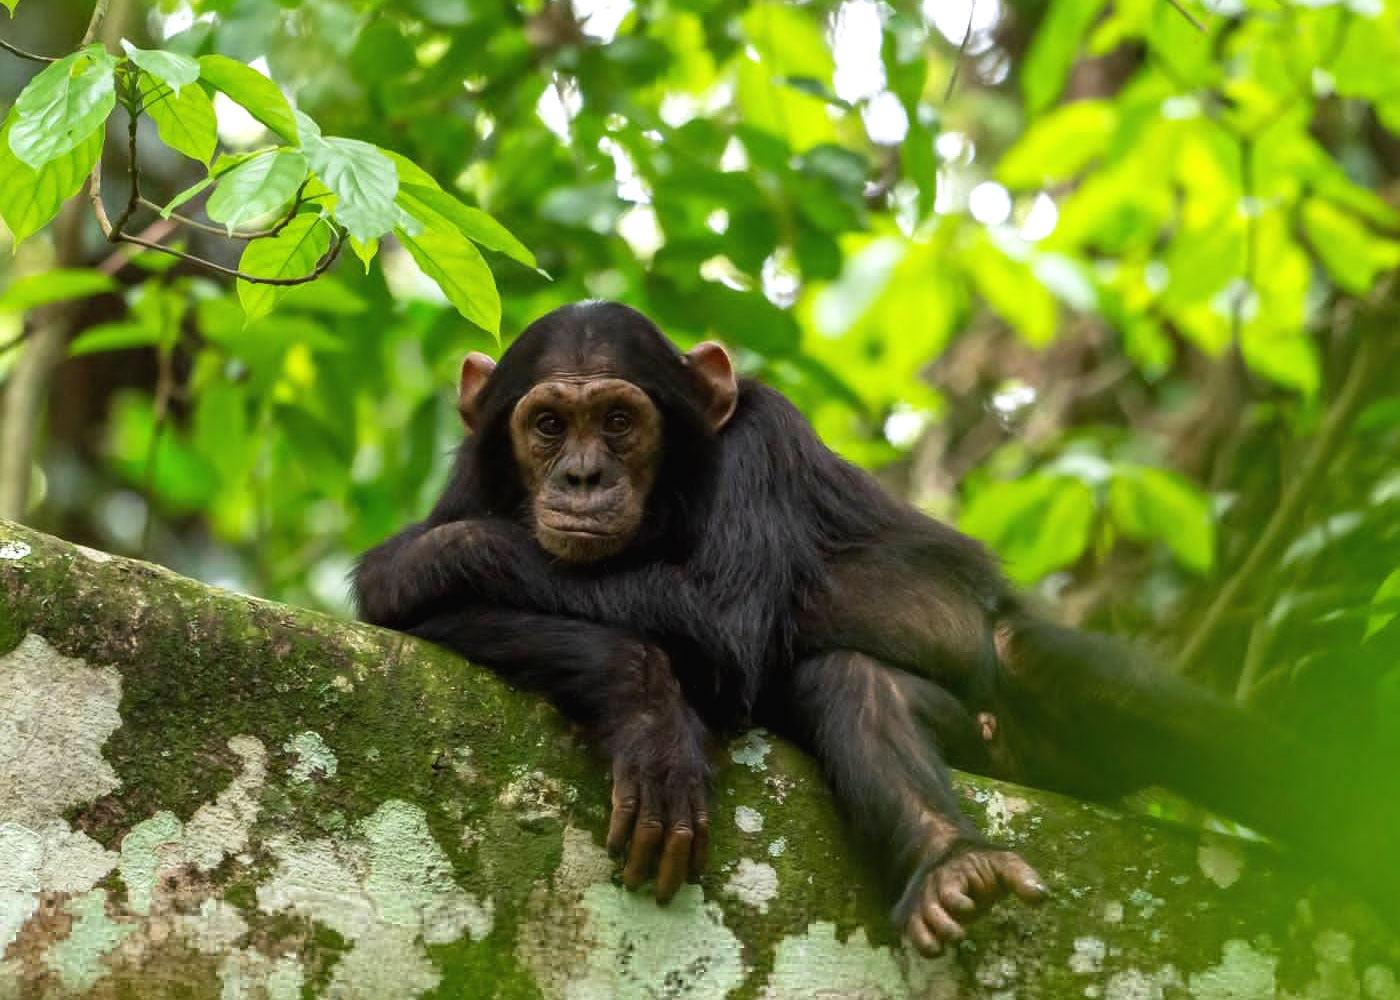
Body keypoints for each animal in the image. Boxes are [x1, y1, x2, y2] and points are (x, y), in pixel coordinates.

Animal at [358, 302, 1388, 952]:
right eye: (546, 425)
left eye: (617, 419)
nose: (580, 477)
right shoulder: (477, 474)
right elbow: (454, 621)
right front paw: (647, 712)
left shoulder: (763, 441)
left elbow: (722, 622)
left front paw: (417, 557)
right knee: (858, 688)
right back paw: (953, 866)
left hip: (1048, 680)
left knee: (1194, 728)